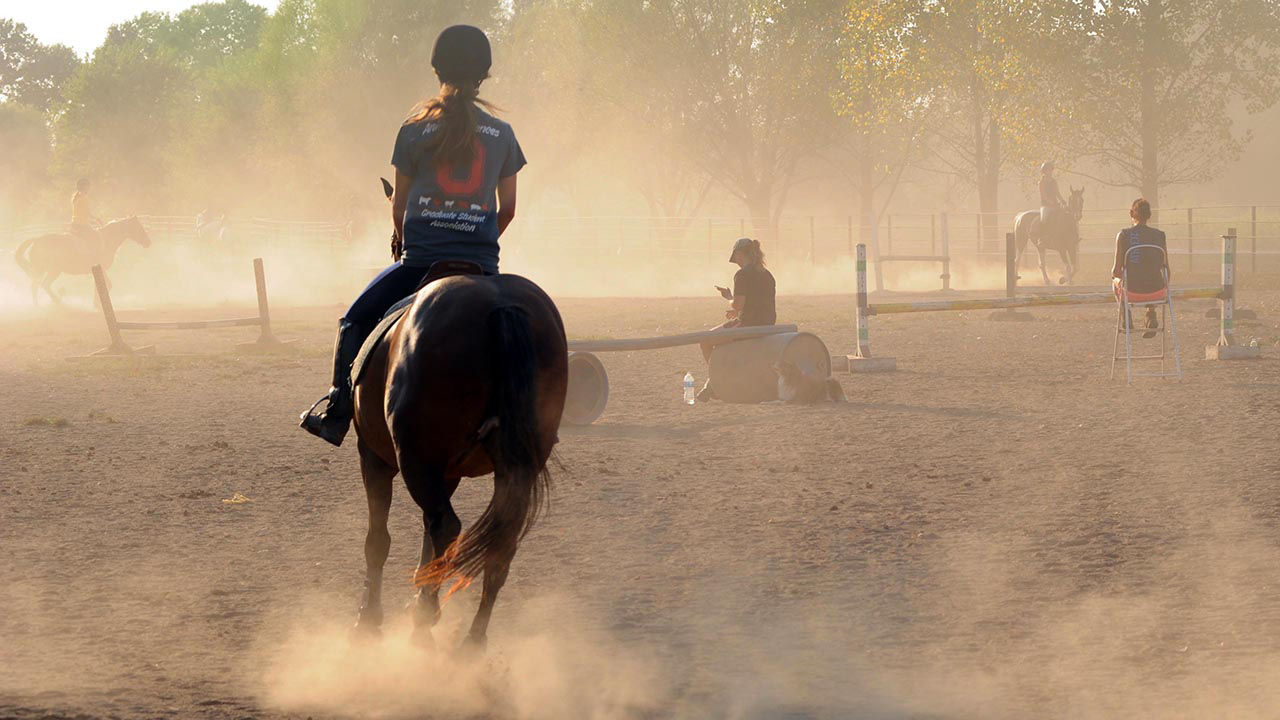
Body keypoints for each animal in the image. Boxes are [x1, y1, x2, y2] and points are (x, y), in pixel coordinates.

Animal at [12, 217, 151, 304]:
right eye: (139, 227)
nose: (148, 242)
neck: (106, 240)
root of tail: (37, 240)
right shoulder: (101, 268)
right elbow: (107, 285)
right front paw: (97, 304)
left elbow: (102, 285)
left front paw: (97, 303)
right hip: (53, 270)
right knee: (43, 284)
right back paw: (58, 302)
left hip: (41, 270)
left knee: (35, 286)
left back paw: (38, 306)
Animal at [348, 236, 568, 651]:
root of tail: (499, 306)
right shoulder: (446, 472)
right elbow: (425, 533)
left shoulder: (376, 458)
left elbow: (377, 539)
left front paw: (370, 618)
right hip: (513, 467)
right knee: (500, 541)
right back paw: (471, 643)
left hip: (415, 459)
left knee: (447, 527)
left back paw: (424, 625)